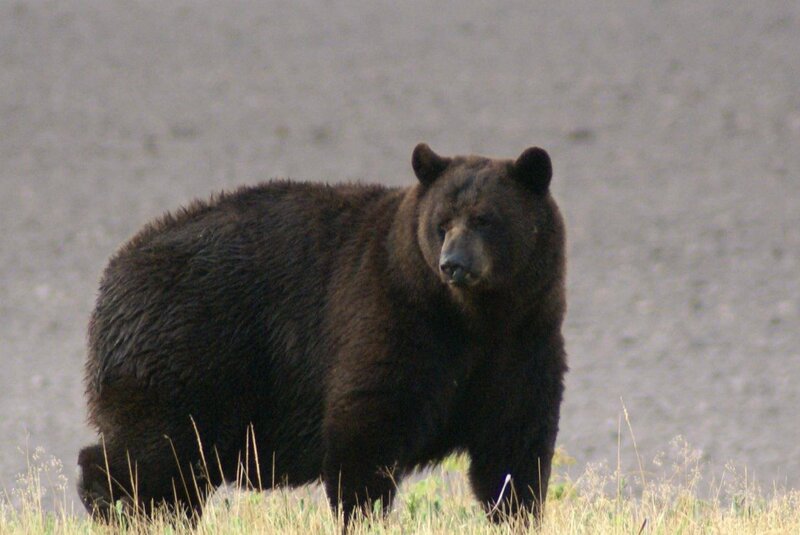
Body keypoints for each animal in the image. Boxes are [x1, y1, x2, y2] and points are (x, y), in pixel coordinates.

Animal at [77, 143, 567, 527]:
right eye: (441, 223)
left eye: (485, 219)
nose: (453, 264)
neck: (472, 318)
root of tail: (112, 275)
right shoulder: (393, 315)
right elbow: (367, 426)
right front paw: (363, 513)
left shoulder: (524, 340)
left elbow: (513, 442)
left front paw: (518, 512)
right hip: (188, 353)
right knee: (155, 451)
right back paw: (113, 502)